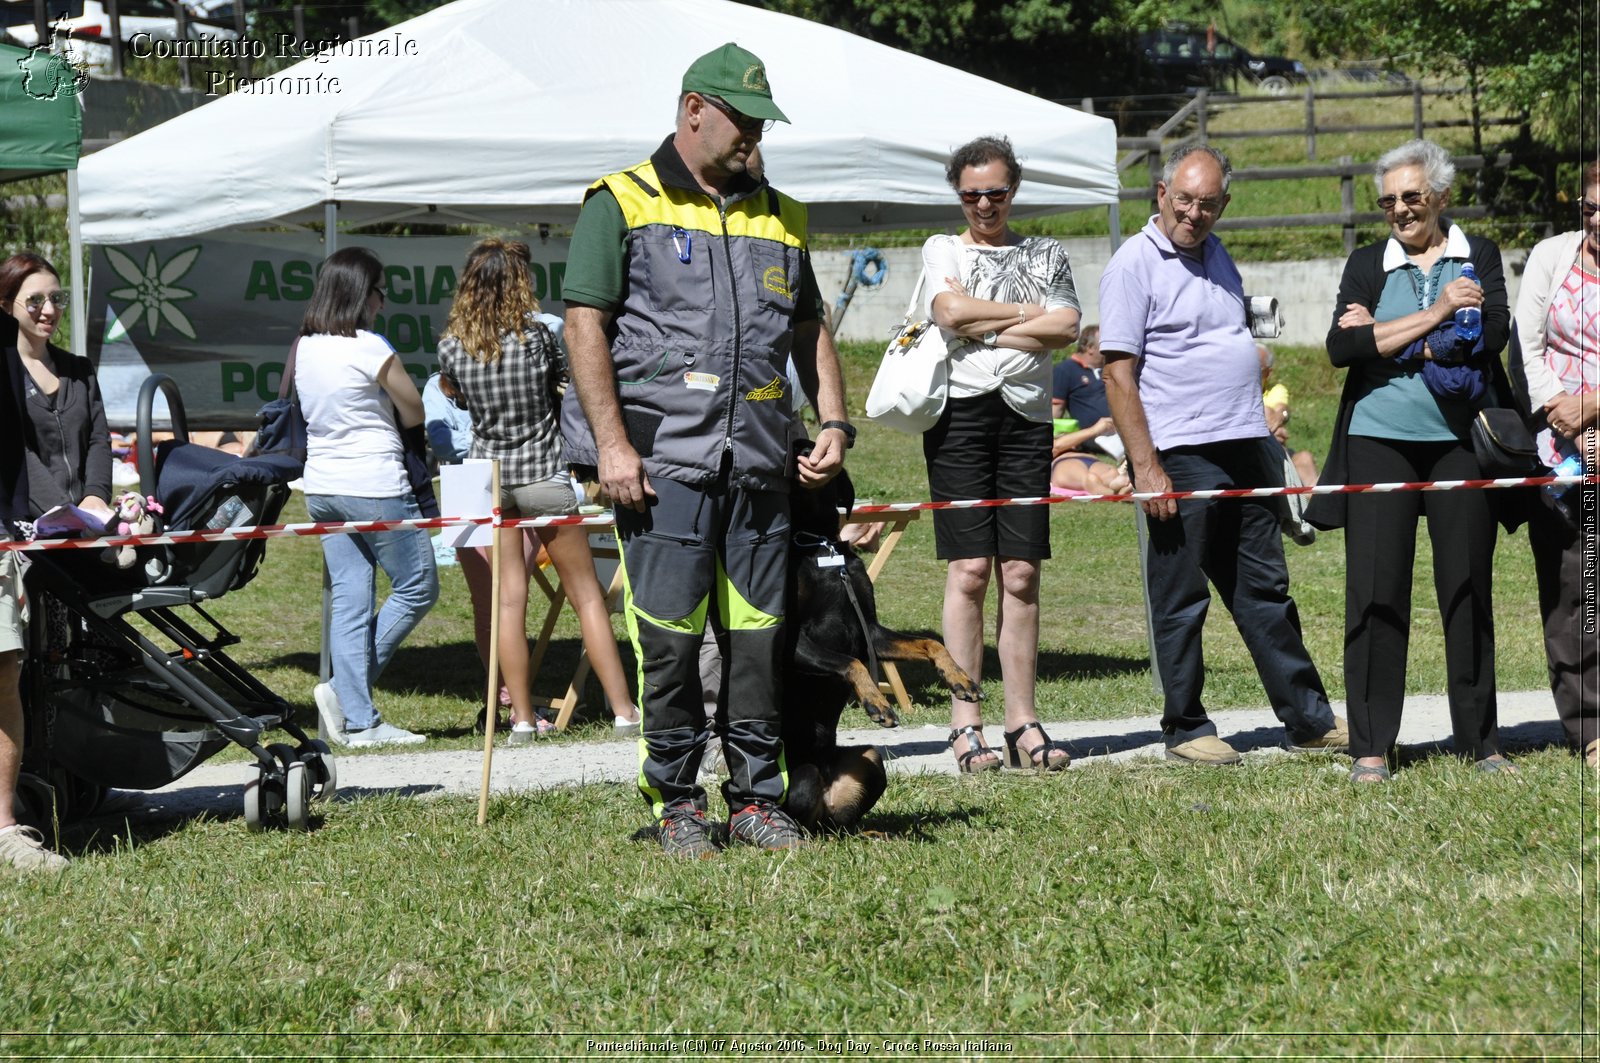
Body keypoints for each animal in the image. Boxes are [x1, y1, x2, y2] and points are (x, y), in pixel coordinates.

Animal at [777, 470, 979, 832]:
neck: (821, 545)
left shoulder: (871, 631)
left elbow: (932, 643)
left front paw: (960, 679)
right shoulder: (791, 640)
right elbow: (850, 662)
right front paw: (877, 703)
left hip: (871, 759)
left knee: (840, 823)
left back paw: (872, 832)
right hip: (804, 779)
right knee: (807, 824)